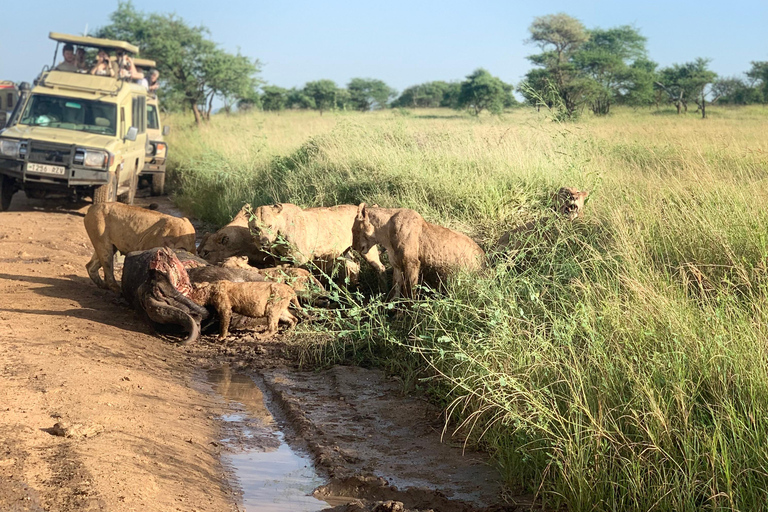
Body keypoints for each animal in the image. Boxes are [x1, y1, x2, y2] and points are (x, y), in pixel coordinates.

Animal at [352, 203, 484, 300]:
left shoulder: (412, 263)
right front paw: (394, 311)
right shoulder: (396, 265)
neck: (384, 235)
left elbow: (410, 291)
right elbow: (396, 288)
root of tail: (484, 258)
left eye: (353, 230)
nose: (353, 247)